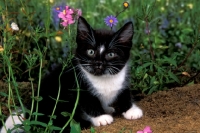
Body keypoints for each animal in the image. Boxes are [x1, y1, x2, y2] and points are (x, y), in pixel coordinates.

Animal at [0, 16, 143, 133]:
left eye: (111, 54)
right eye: (91, 52)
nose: (98, 64)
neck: (104, 78)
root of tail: (29, 111)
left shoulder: (123, 79)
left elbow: (124, 92)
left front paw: (130, 110)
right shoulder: (77, 83)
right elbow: (88, 101)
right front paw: (101, 117)